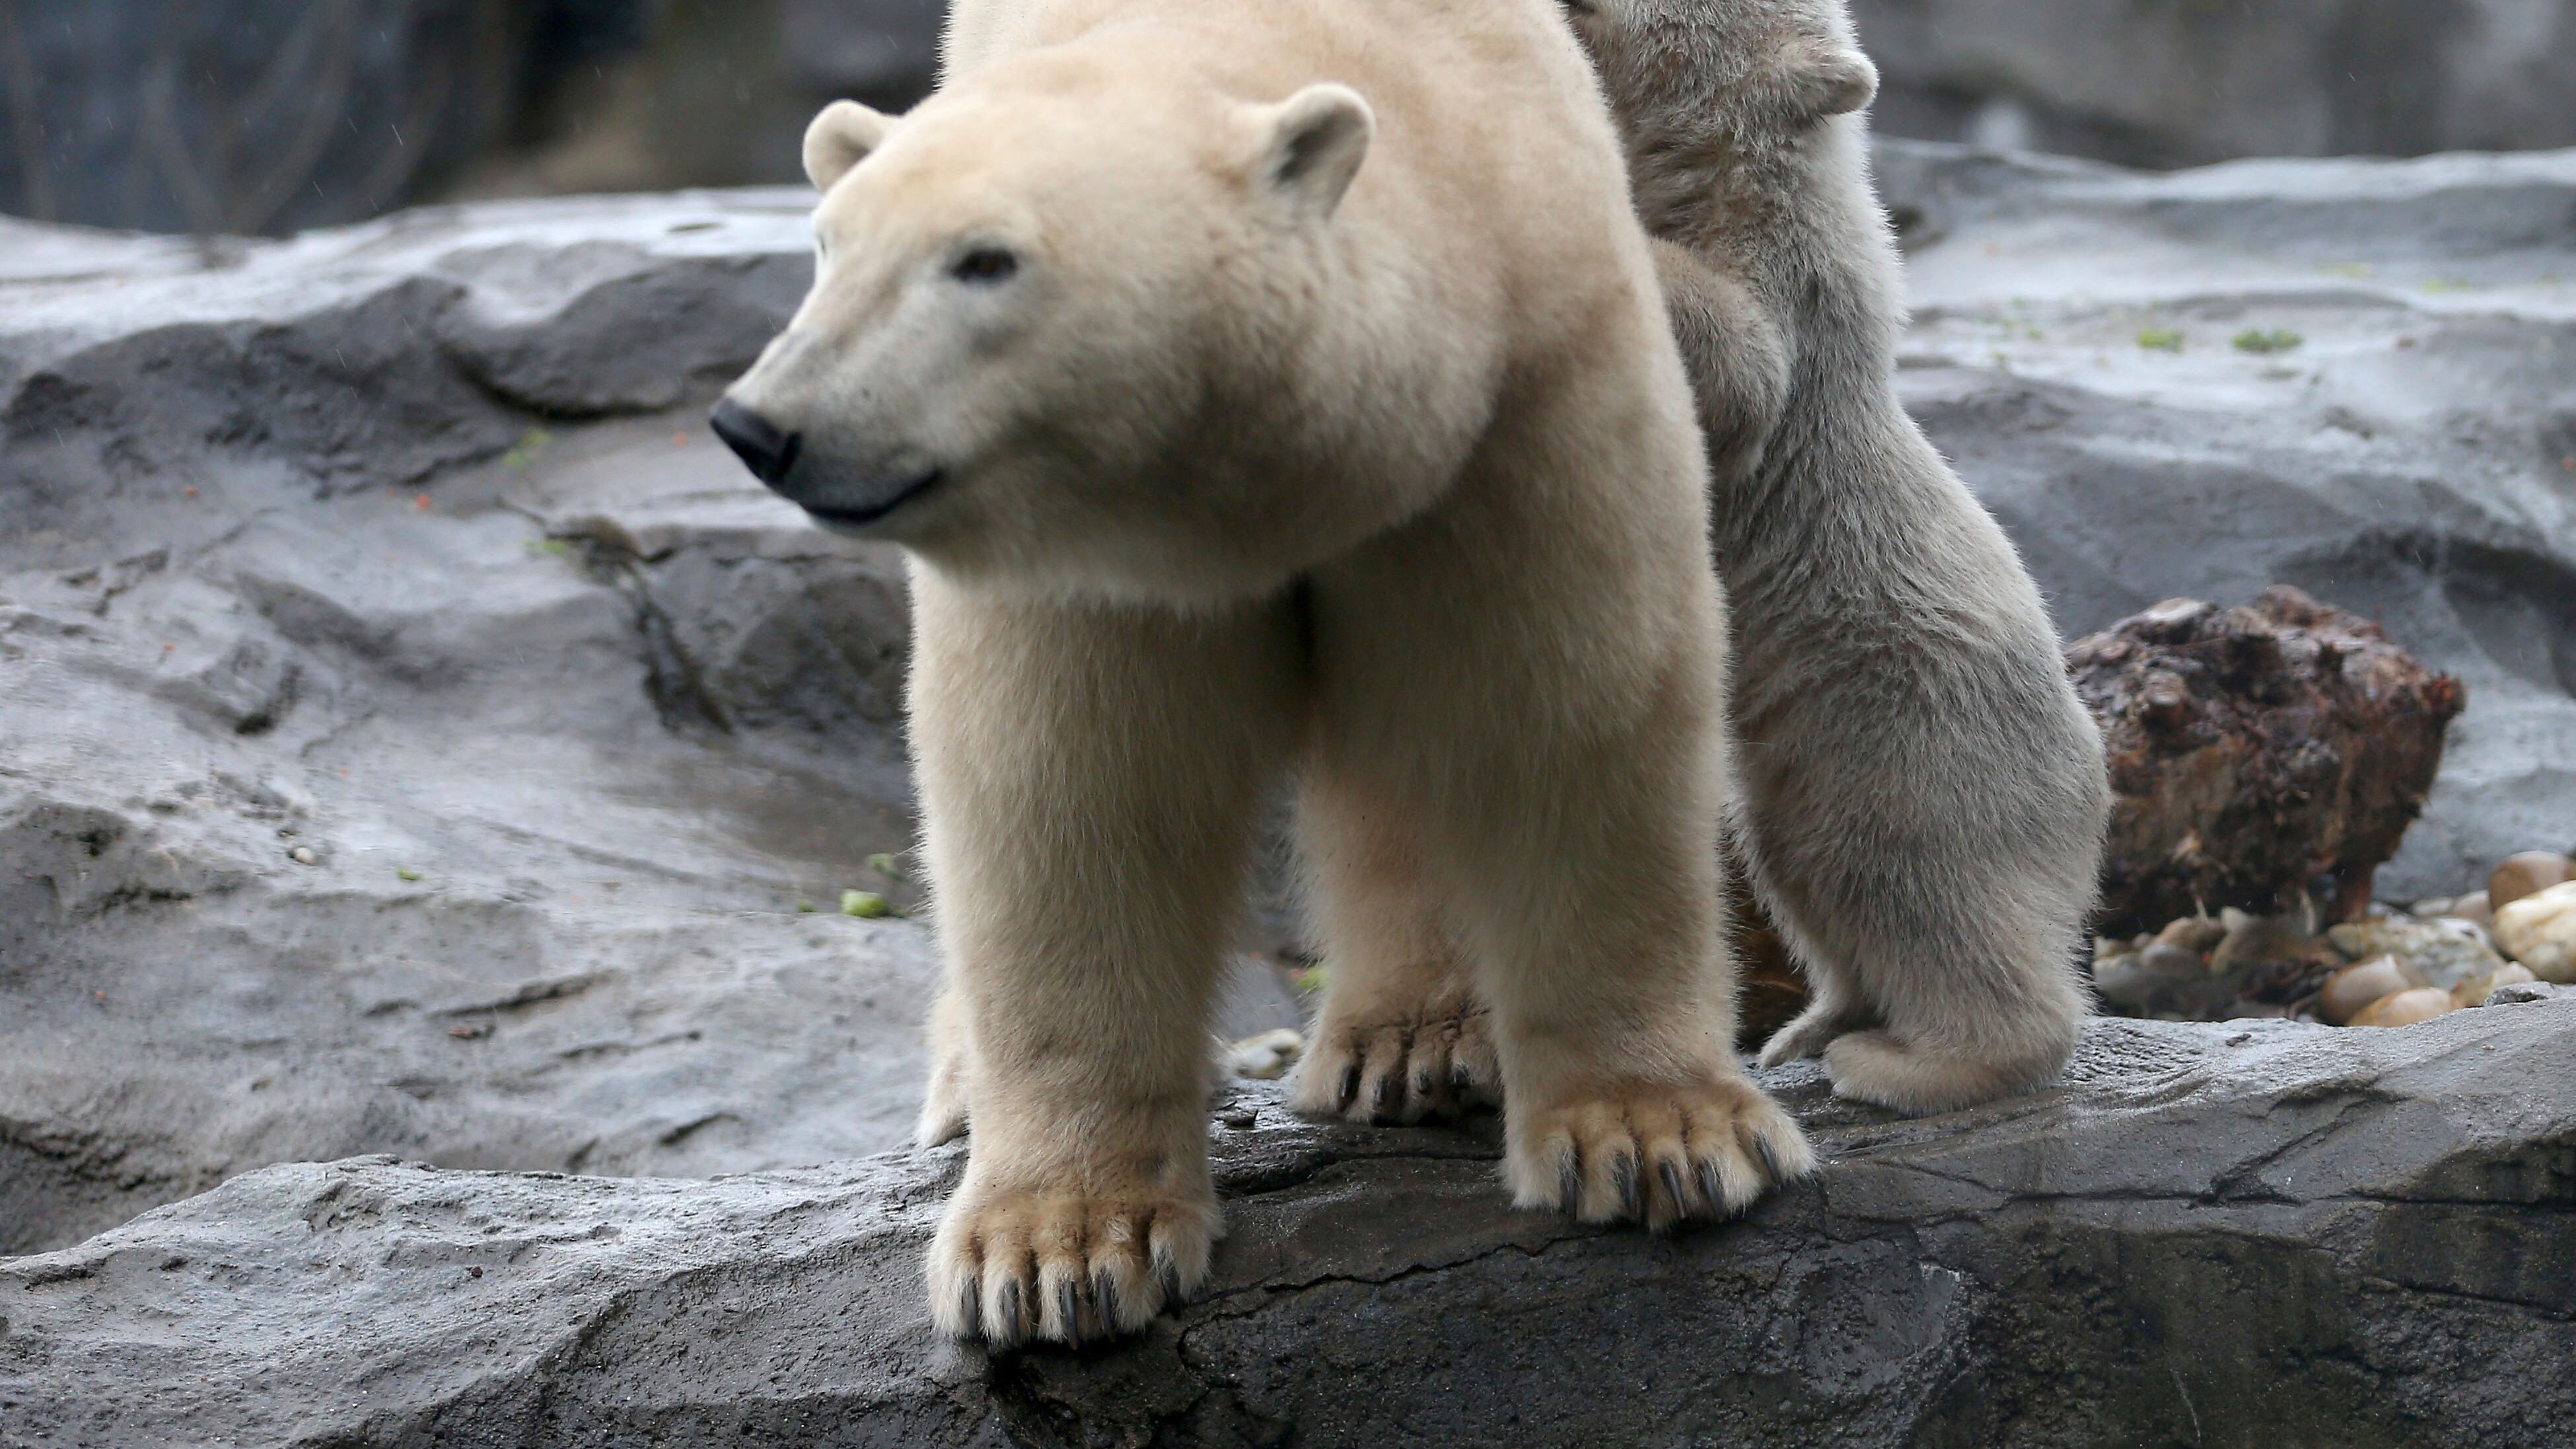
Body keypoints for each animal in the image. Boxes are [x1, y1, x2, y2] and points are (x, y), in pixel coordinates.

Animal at [711, 0, 1814, 1347]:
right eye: (825, 246)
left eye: (984, 261)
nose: (765, 425)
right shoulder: (1083, 558)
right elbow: (1080, 800)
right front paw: (1056, 1252)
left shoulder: (1525, 394)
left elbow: (1565, 718)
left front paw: (1664, 1140)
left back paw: (1416, 1037)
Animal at [1294, 0, 2111, 1123]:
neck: (1742, 179)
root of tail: (2094, 796)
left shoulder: (1794, 295)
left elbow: (1729, 361)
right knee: (1805, 875)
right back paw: (1816, 1024)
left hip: (1916, 743)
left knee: (1918, 888)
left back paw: (1906, 1063)